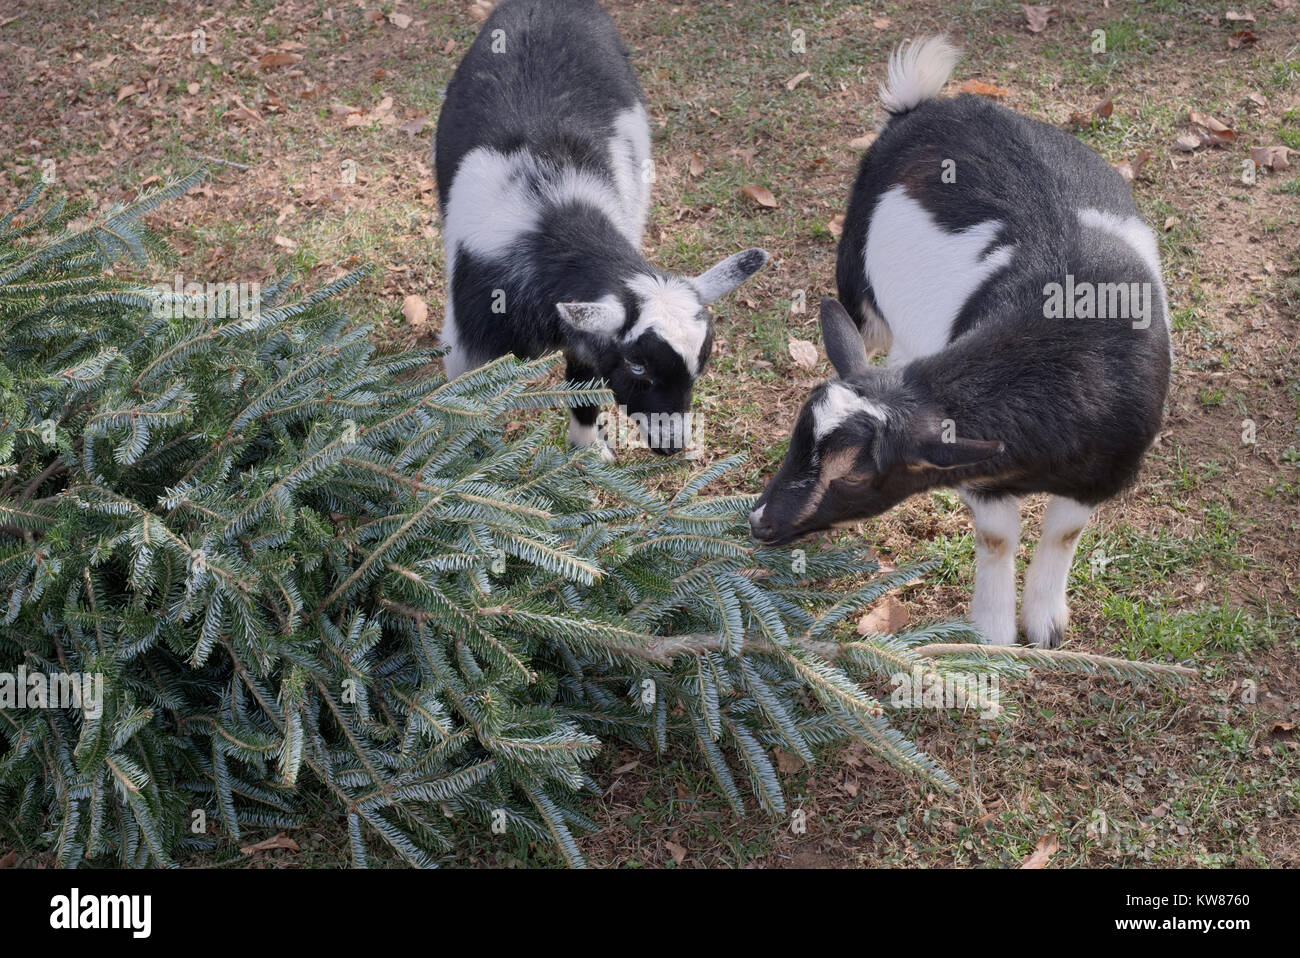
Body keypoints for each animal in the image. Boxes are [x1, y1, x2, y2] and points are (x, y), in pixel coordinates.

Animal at [431, 0, 764, 457]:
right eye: (637, 365)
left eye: (702, 364)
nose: (672, 444)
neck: (554, 230)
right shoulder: (468, 343)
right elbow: (464, 408)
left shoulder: (585, 335)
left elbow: (582, 384)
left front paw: (587, 450)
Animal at [748, 39, 1175, 649]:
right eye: (795, 437)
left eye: (855, 474)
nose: (759, 521)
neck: (1073, 349)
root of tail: (928, 107)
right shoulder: (980, 470)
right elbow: (998, 537)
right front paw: (993, 635)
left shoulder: (1100, 475)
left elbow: (1063, 534)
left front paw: (1044, 624)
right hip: (860, 287)